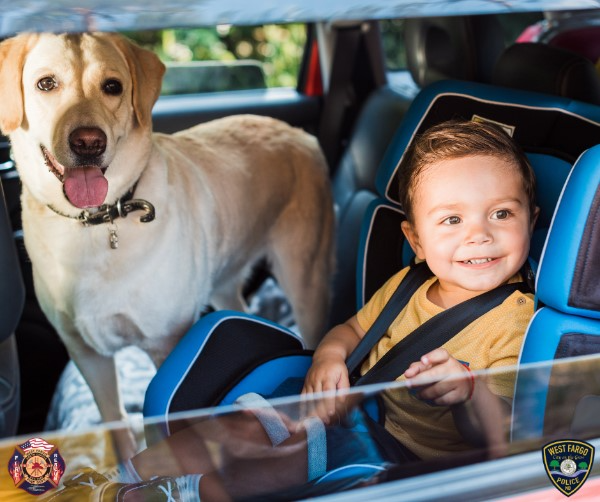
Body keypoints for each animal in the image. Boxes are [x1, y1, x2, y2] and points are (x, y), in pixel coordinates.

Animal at [0, 30, 332, 454]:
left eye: (113, 87)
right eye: (46, 84)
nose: (89, 142)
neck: (96, 224)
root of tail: (300, 134)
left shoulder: (166, 349)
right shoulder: (87, 356)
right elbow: (119, 432)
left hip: (306, 282)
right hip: (224, 282)